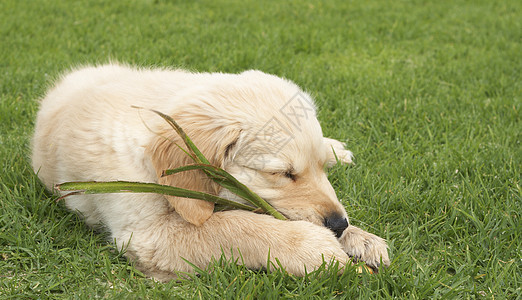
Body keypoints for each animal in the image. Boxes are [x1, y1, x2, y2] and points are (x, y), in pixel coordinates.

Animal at [29, 63, 386, 282]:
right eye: (283, 174)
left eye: (321, 169)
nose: (339, 225)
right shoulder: (147, 233)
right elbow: (237, 226)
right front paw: (317, 249)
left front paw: (361, 238)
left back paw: (337, 149)